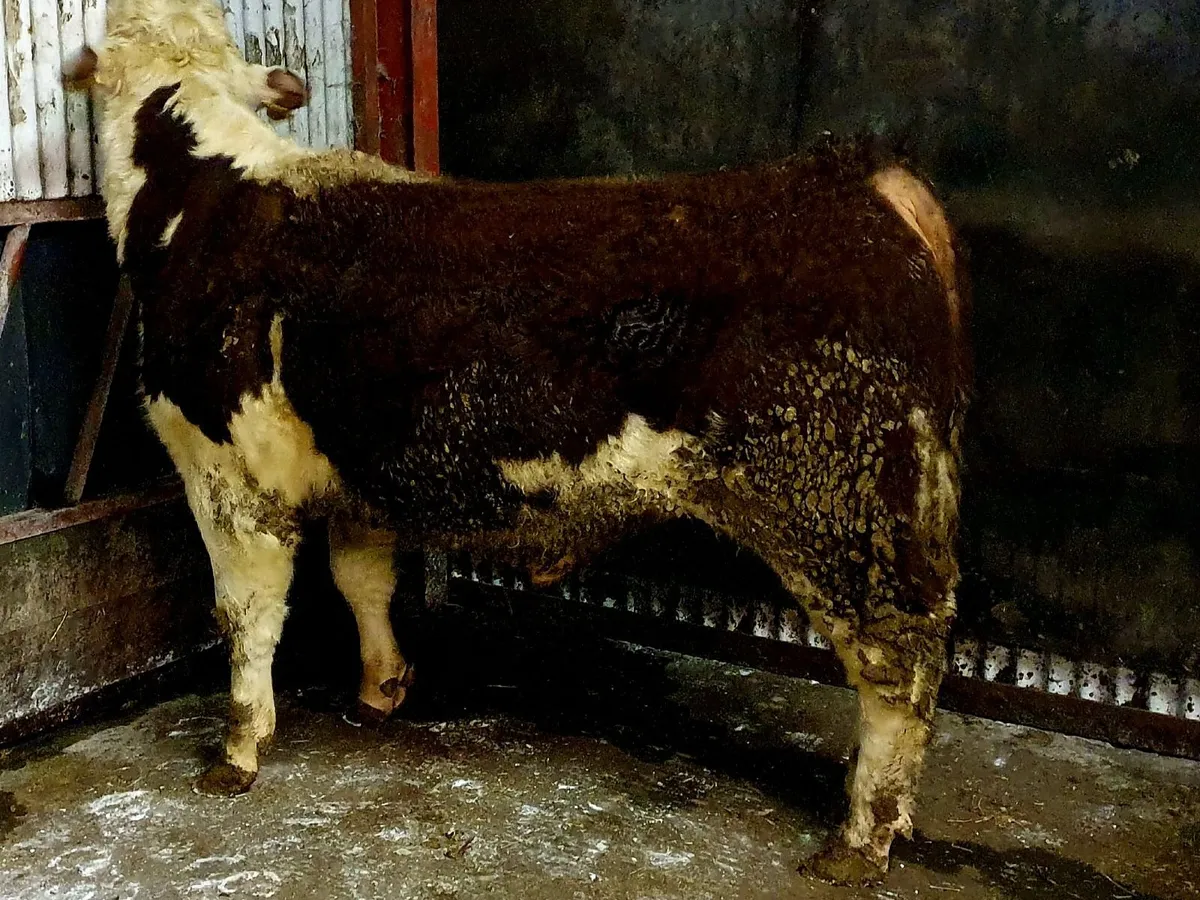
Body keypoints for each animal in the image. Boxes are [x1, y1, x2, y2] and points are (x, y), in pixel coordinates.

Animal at [64, 0, 969, 884]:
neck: (198, 195)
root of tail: (850, 173)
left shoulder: (221, 467)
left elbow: (246, 614)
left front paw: (239, 750)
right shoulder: (363, 467)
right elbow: (362, 581)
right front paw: (380, 689)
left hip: (838, 505)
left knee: (898, 663)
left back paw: (861, 838)